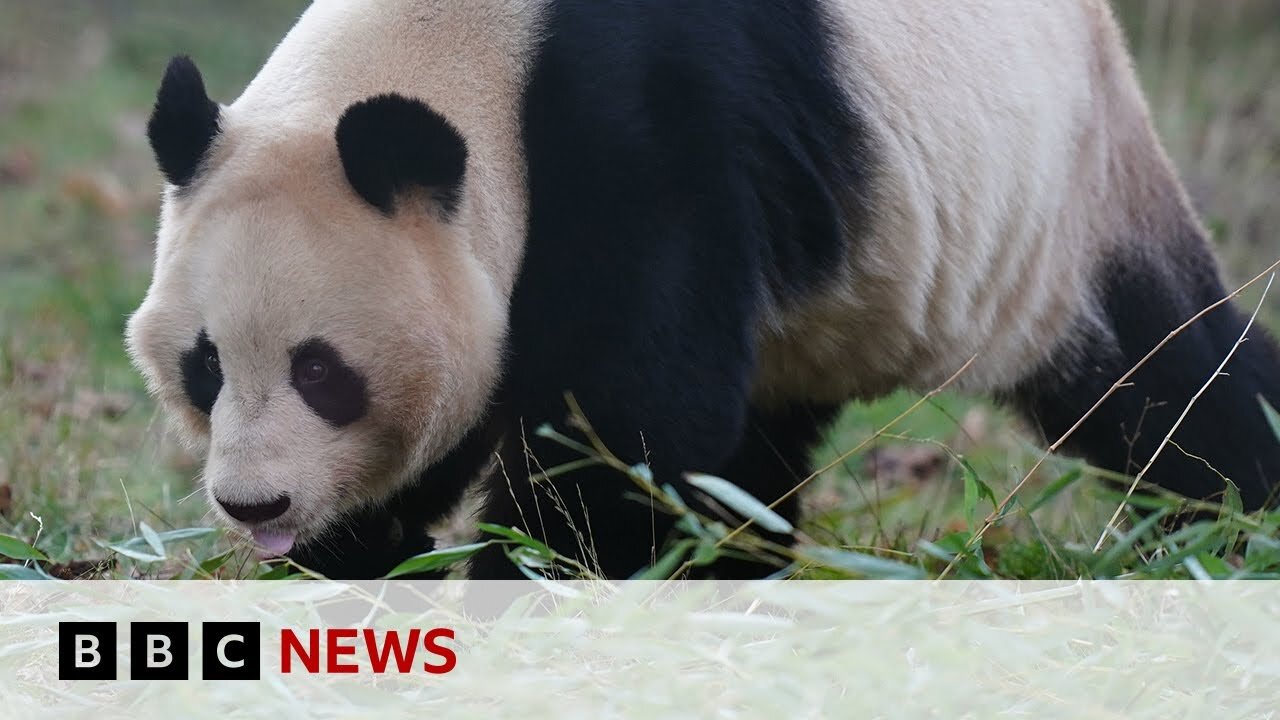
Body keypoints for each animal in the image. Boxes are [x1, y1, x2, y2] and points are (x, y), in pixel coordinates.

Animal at [124, 0, 1280, 573]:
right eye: (204, 366)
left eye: (324, 372)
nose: (254, 503)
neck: (473, 55)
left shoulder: (645, 130)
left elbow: (627, 423)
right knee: (757, 451)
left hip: (1053, 196)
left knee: (1171, 388)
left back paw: (1229, 533)